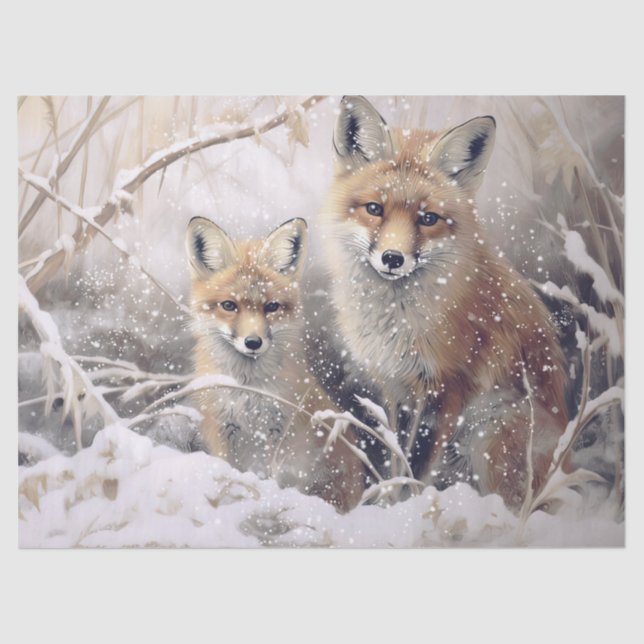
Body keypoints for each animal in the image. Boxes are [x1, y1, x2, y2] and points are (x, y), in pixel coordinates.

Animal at [185, 216, 364, 512]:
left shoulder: (281, 430)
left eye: (271, 307)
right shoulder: (220, 426)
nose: (253, 342)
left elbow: (273, 478)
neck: (248, 391)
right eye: (229, 305)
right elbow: (228, 469)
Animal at [320, 96, 569, 511]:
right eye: (374, 209)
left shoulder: (448, 388)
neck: (397, 321)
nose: (392, 258)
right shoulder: (394, 388)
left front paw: (405, 511)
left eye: (428, 218)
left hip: (491, 430)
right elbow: (396, 457)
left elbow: (418, 468)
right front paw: (389, 504)